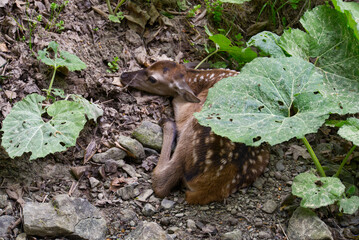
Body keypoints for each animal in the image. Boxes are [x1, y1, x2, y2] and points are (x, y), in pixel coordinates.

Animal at [121, 60, 270, 204]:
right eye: (150, 64)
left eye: (152, 79)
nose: (124, 75)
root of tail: (209, 188)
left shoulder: (189, 109)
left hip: (192, 134)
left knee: (162, 183)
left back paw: (167, 123)